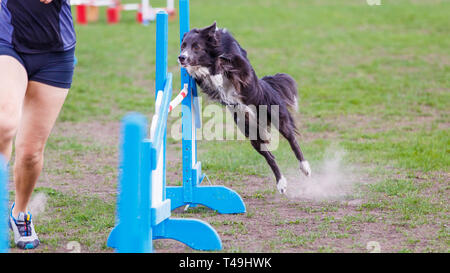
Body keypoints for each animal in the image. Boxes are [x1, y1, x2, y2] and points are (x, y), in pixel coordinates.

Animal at [178, 23, 312, 193]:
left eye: (196, 47)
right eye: (183, 46)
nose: (181, 57)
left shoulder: (241, 67)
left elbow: (223, 61)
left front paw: (217, 69)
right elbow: (204, 73)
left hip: (277, 116)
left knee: (292, 140)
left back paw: (305, 167)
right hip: (251, 132)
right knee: (270, 157)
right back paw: (281, 183)